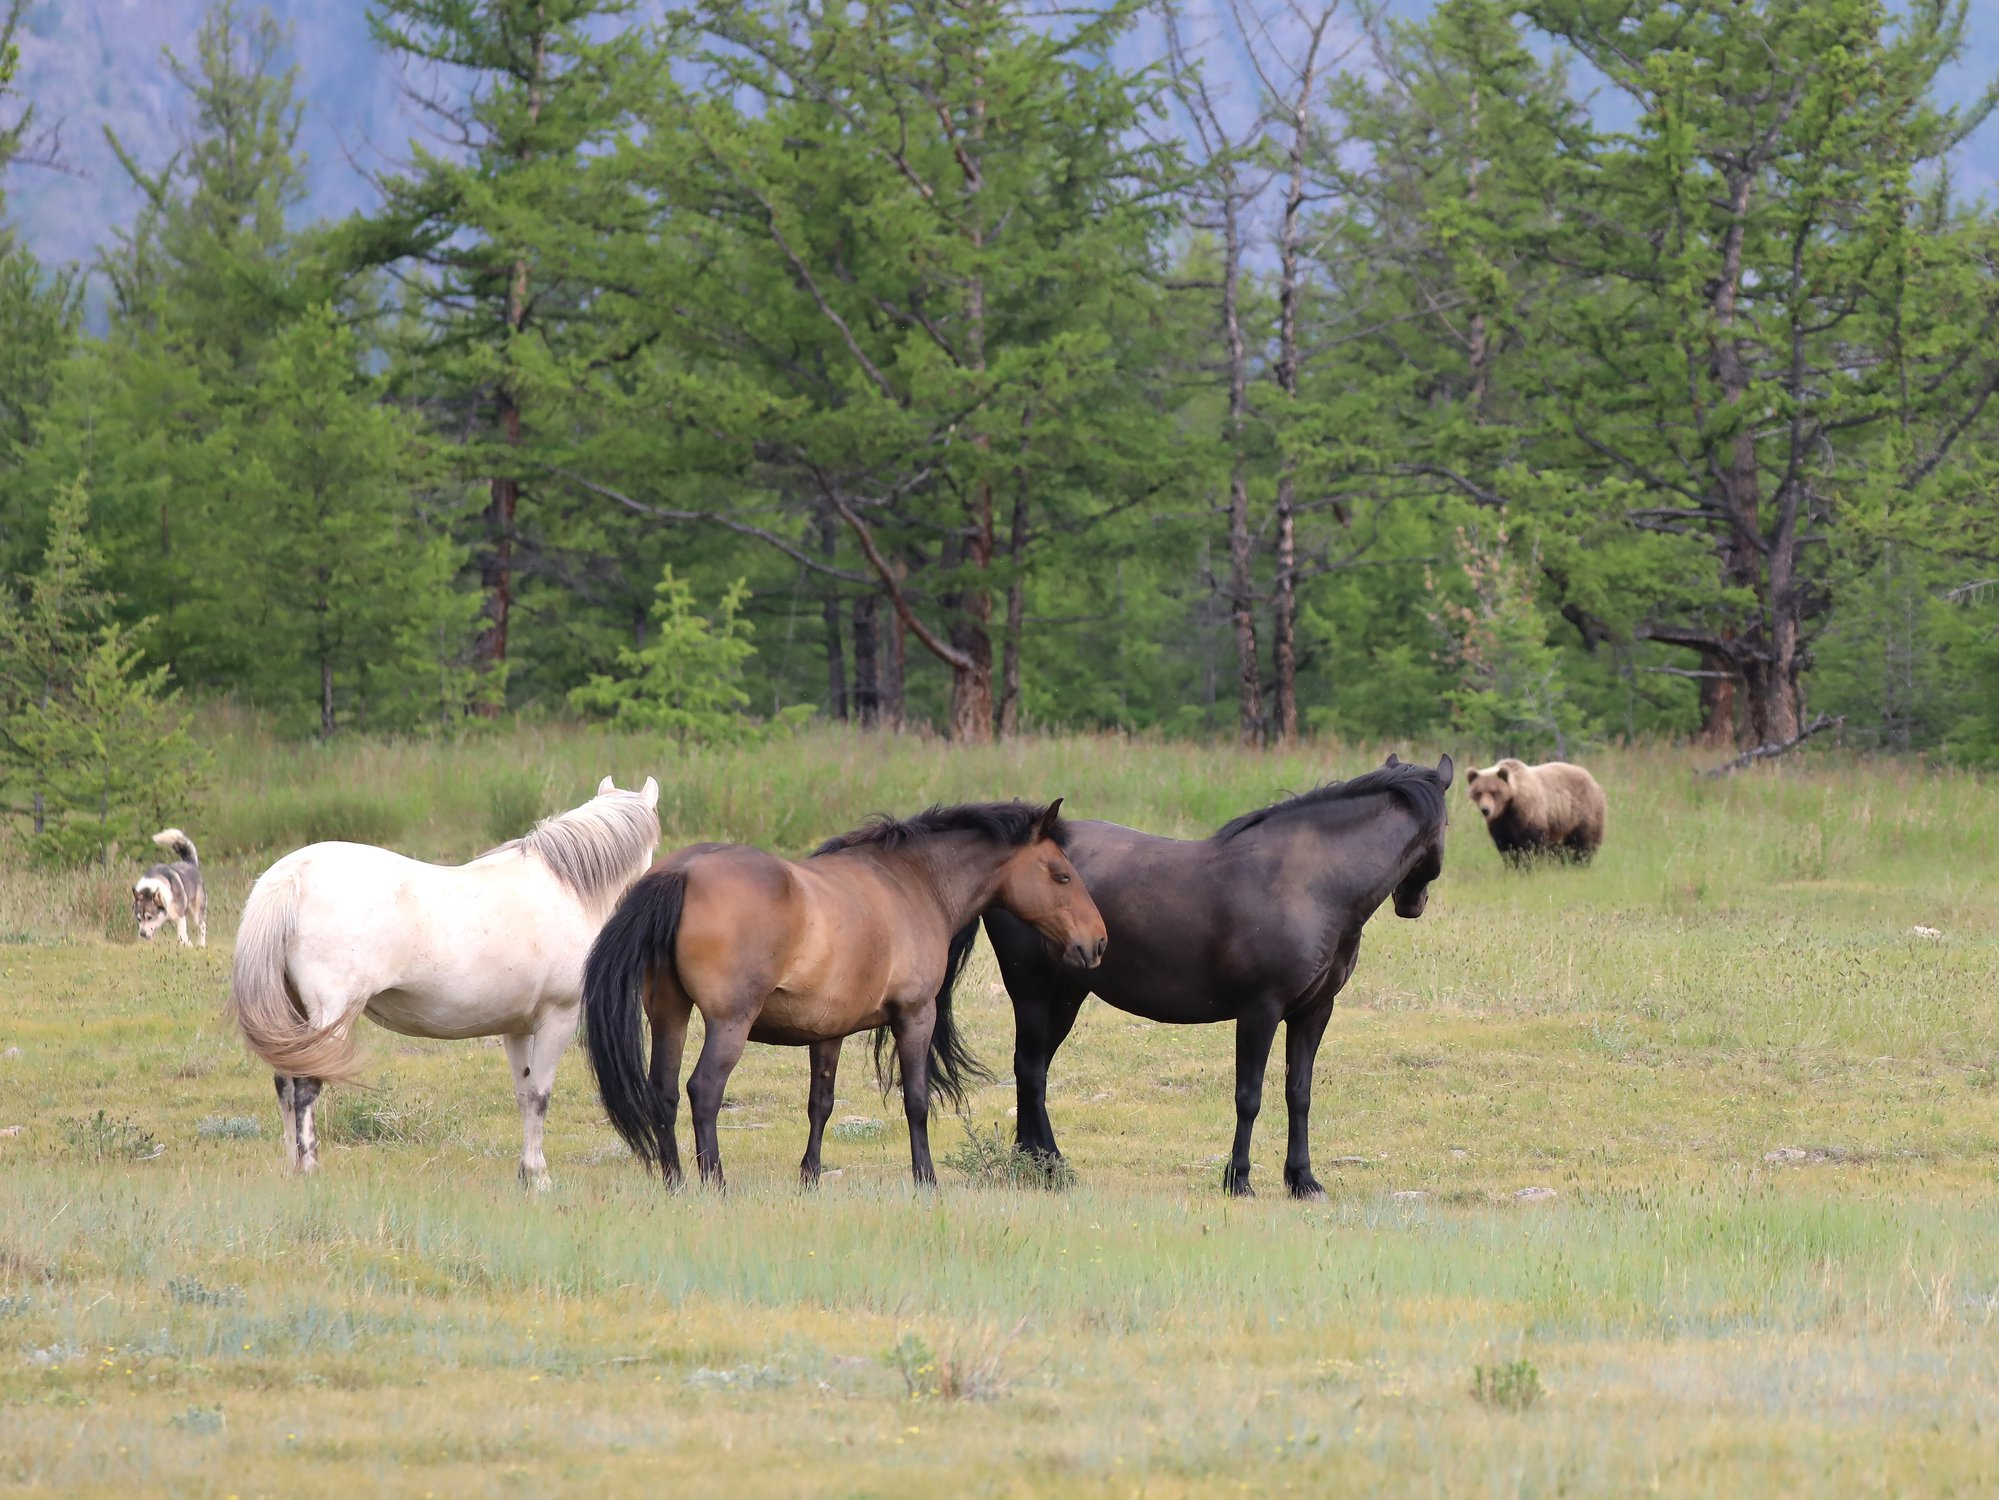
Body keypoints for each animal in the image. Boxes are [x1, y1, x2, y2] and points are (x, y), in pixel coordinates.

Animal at [228, 776, 659, 1184]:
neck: (565, 888)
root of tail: (291, 875)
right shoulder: (559, 1018)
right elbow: (539, 1097)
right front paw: (539, 1177)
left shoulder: (517, 1028)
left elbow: (523, 1095)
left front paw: (525, 1173)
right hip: (329, 1016)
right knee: (306, 1086)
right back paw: (310, 1169)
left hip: (294, 1017)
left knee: (285, 1082)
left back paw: (292, 1168)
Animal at [579, 804, 1111, 1192]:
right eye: (1062, 875)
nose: (1098, 942)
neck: (911, 882)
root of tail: (684, 873)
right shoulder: (915, 1015)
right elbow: (916, 1101)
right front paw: (926, 1179)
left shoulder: (826, 1032)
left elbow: (821, 1104)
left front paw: (810, 1177)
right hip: (728, 1023)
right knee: (703, 1091)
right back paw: (716, 1183)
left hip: (669, 1014)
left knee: (664, 1093)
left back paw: (675, 1183)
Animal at [987, 756, 1447, 1208]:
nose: (1414, 904)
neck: (1312, 884)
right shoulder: (1260, 1010)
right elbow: (1249, 1096)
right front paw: (1238, 1179)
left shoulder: (1314, 1012)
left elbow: (1299, 1094)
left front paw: (1303, 1181)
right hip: (1032, 991)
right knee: (1030, 1069)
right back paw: (1047, 1164)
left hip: (1067, 995)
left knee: (1035, 1070)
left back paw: (1035, 1163)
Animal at [1471, 756, 1607, 864]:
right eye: (1478, 792)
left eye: (1494, 792)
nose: (1485, 810)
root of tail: (1593, 780)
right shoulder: (1500, 822)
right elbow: (1506, 845)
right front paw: (1513, 864)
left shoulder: (1528, 811)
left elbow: (1531, 842)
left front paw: (1530, 863)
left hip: (1583, 812)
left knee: (1584, 842)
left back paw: (1579, 862)